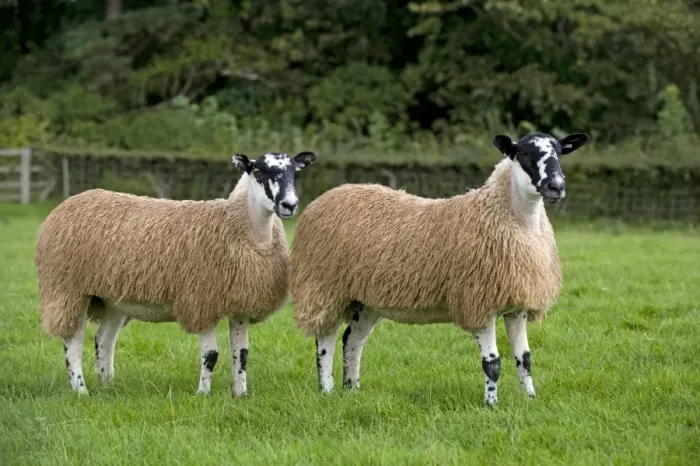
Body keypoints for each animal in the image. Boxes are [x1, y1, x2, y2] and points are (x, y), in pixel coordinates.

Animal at [34, 151, 317, 396]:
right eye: (258, 171)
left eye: (295, 171)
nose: (289, 205)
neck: (242, 227)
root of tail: (69, 202)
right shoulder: (203, 301)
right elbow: (211, 355)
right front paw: (203, 394)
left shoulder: (240, 305)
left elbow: (242, 354)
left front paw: (241, 394)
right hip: (67, 289)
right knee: (73, 342)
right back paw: (81, 390)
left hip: (112, 298)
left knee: (103, 339)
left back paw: (109, 385)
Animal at [290, 132, 588, 406]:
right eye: (524, 154)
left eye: (559, 152)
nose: (556, 186)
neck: (511, 219)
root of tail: (326, 196)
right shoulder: (478, 303)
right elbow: (492, 363)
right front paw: (491, 405)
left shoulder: (517, 305)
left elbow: (524, 359)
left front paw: (530, 400)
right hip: (324, 288)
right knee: (325, 340)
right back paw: (327, 391)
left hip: (367, 300)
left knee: (352, 340)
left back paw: (352, 389)